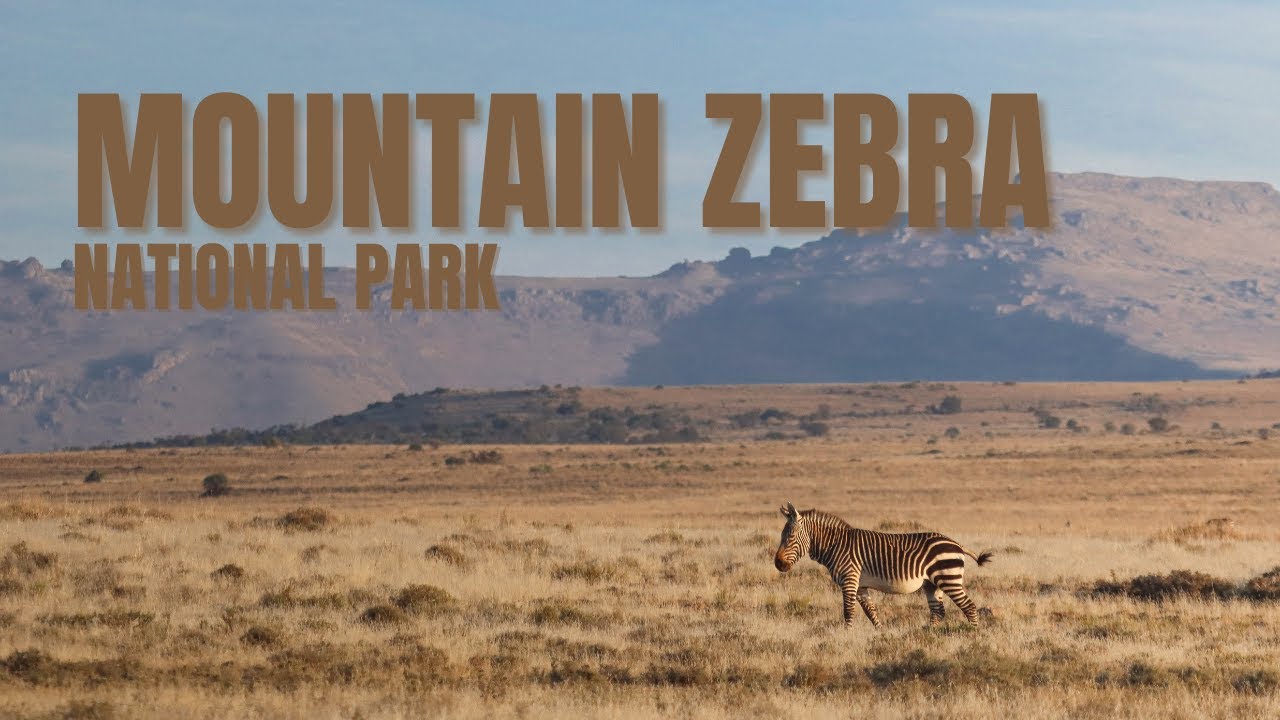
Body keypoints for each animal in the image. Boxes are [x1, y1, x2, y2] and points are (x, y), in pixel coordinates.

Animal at [773, 502, 993, 628]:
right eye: (781, 535)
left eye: (790, 537)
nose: (778, 564)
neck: (836, 545)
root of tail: (957, 544)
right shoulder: (860, 585)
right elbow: (870, 612)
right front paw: (880, 634)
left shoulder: (850, 579)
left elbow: (848, 611)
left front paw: (846, 636)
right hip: (932, 584)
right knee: (938, 611)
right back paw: (930, 637)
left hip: (949, 578)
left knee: (969, 607)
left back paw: (973, 636)